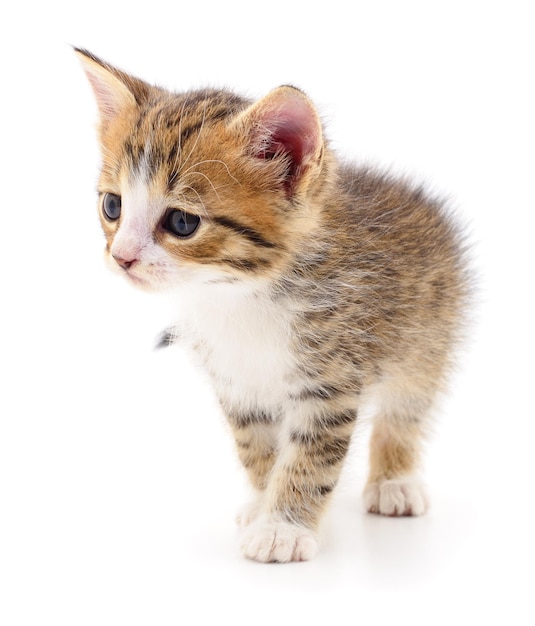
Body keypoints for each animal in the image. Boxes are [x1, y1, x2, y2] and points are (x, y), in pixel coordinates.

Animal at [76, 48, 474, 560]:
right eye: (112, 206)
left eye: (182, 222)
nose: (122, 257)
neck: (237, 295)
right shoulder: (236, 383)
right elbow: (258, 448)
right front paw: (265, 504)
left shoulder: (332, 378)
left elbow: (311, 454)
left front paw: (284, 527)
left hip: (429, 337)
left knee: (405, 409)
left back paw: (394, 481)